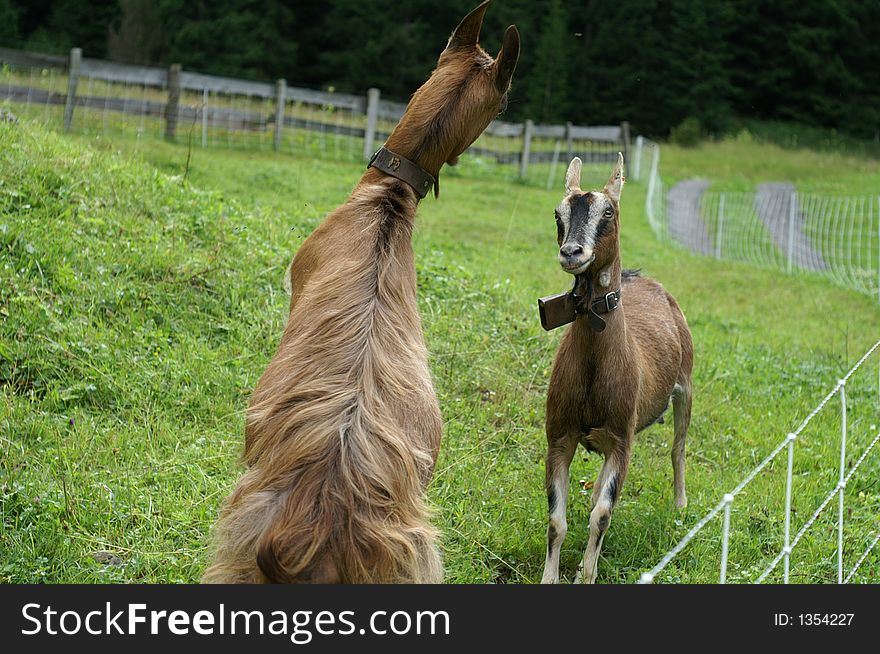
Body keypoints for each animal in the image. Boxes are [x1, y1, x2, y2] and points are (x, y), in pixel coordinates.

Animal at [540, 156, 692, 588]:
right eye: (558, 213)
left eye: (608, 212)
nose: (572, 252)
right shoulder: (559, 436)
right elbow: (557, 520)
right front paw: (551, 577)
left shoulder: (623, 440)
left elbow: (602, 516)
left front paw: (586, 576)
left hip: (686, 385)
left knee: (678, 448)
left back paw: (680, 505)